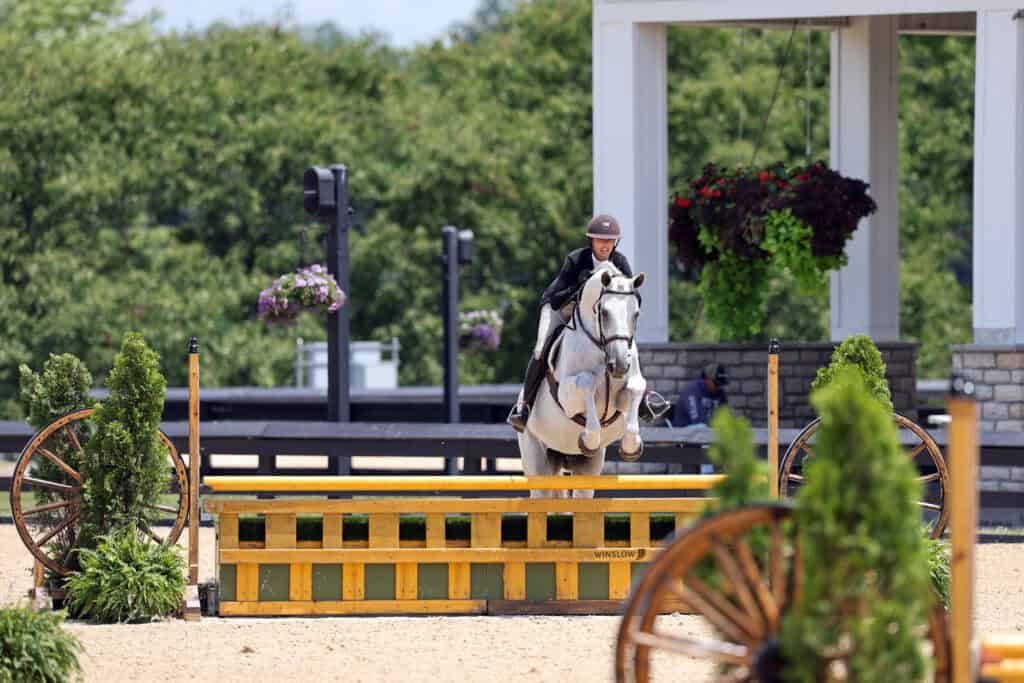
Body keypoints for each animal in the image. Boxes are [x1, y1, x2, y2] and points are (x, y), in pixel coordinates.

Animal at [517, 263, 647, 498]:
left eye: (636, 314)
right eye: (604, 312)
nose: (619, 364)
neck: (601, 347)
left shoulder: (627, 391)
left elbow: (636, 388)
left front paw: (631, 446)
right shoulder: (566, 397)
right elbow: (587, 381)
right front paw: (588, 440)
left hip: (587, 468)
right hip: (536, 455)